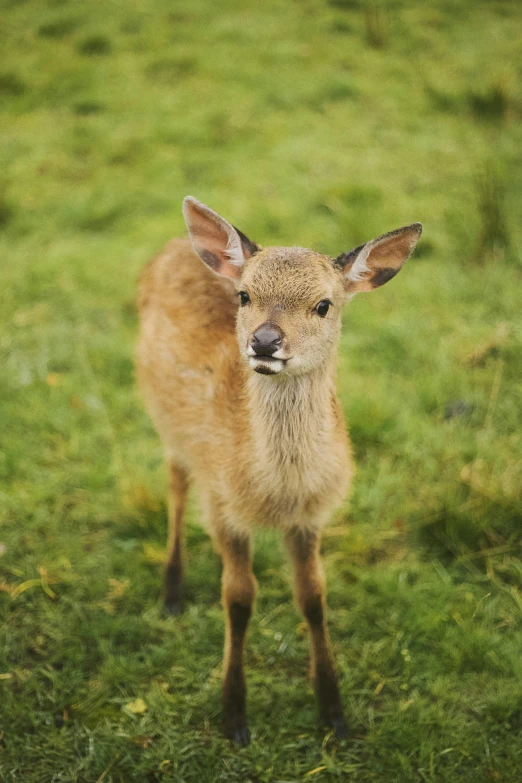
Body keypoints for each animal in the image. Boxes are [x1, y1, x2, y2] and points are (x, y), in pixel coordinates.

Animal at [136, 198, 420, 748]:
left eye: (324, 305)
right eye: (245, 295)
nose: (265, 342)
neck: (275, 492)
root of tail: (175, 245)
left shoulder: (311, 517)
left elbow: (313, 597)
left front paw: (334, 713)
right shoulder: (222, 505)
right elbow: (238, 599)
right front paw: (234, 716)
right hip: (166, 422)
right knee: (176, 483)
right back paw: (172, 593)